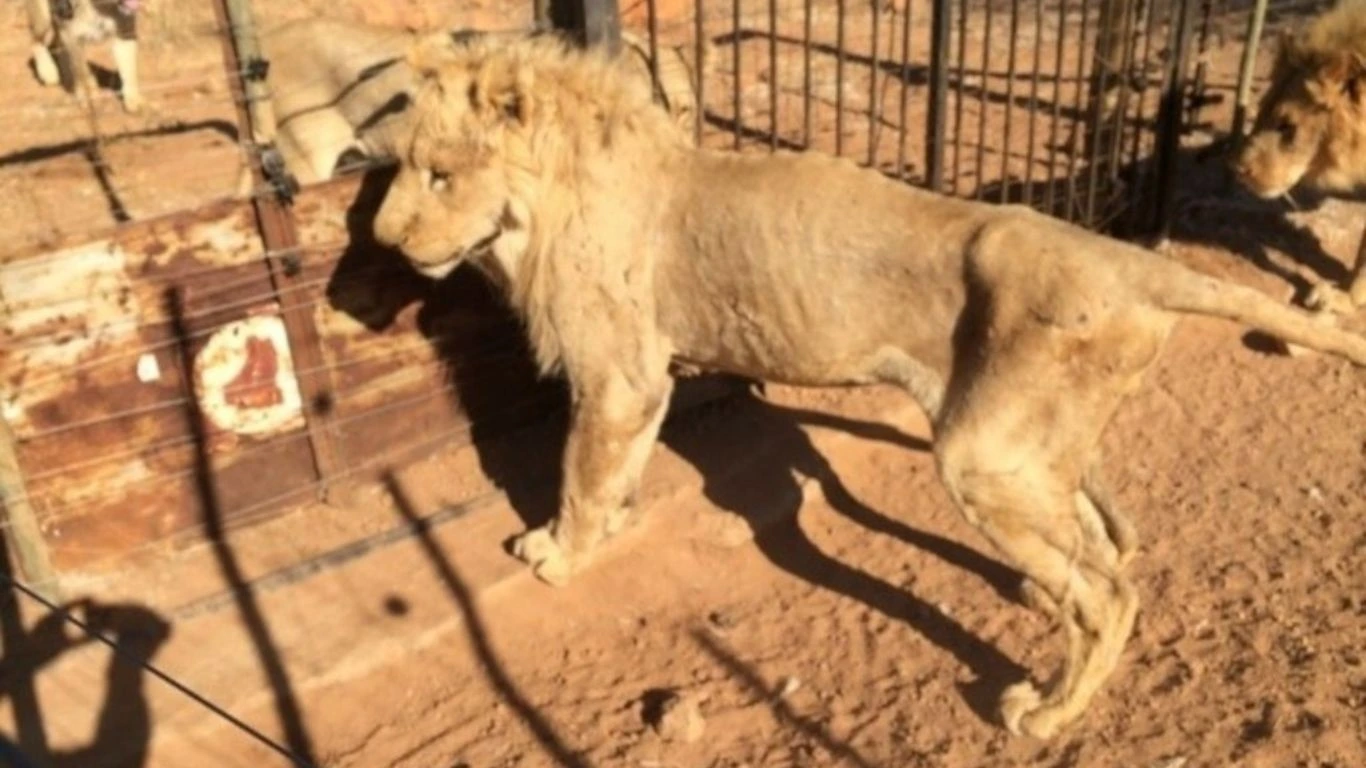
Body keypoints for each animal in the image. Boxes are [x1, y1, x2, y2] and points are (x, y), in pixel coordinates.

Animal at [366, 32, 1366, 737]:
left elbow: (579, 473)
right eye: (401, 166)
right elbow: (616, 469)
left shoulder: (617, 372)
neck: (540, 210)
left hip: (984, 453)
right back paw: (1041, 602)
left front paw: (558, 552)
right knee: (1099, 550)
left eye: (439, 173)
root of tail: (1129, 260)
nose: (382, 240)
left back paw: (1044, 710)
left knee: (1109, 592)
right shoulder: (640, 383)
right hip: (1033, 449)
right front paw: (609, 525)